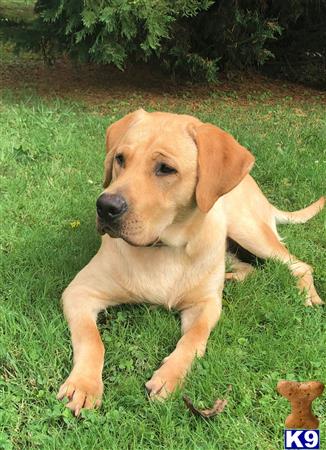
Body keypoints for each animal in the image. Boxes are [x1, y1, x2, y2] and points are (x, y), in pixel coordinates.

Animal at [56, 109, 324, 414]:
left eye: (165, 168)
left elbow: (194, 339)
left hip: (247, 229)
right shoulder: (79, 291)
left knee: (299, 264)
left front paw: (169, 377)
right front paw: (84, 384)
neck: (163, 248)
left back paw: (307, 295)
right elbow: (92, 339)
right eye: (120, 159)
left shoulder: (205, 306)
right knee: (248, 267)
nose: (106, 206)